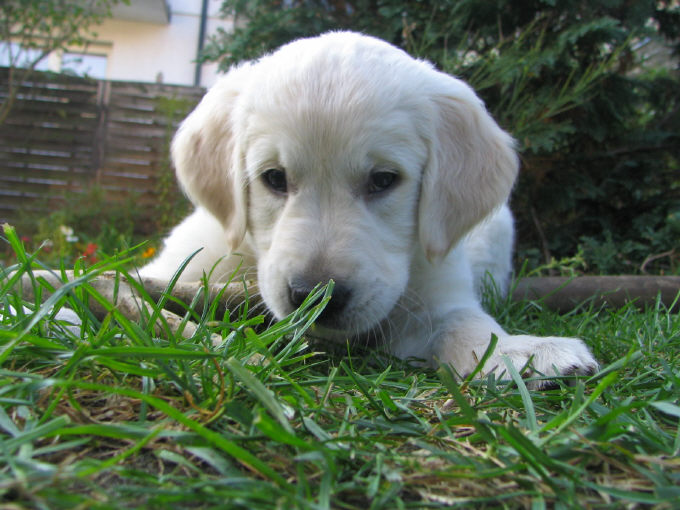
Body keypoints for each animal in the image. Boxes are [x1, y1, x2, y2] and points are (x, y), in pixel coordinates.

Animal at [142, 30, 596, 386]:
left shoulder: (433, 286)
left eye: (383, 180)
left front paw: (521, 351)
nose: (315, 297)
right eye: (274, 177)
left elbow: (463, 321)